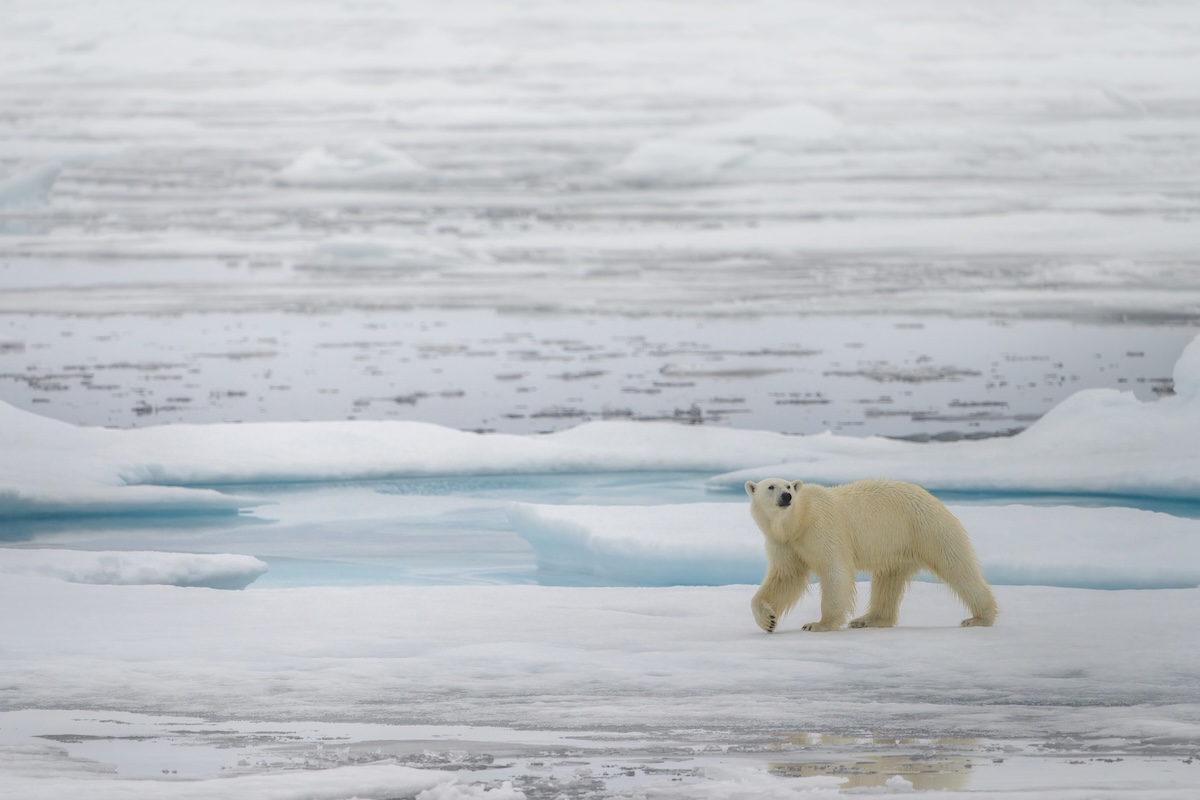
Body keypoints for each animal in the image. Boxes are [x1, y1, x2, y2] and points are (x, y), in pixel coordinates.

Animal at [745, 477, 996, 632]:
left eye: (788, 486)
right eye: (771, 487)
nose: (786, 497)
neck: (798, 521)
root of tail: (933, 498)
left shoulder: (823, 528)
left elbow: (835, 570)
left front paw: (818, 624)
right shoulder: (785, 543)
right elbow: (785, 576)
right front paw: (768, 620)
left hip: (926, 527)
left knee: (956, 567)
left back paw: (979, 617)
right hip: (897, 545)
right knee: (888, 580)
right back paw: (867, 619)